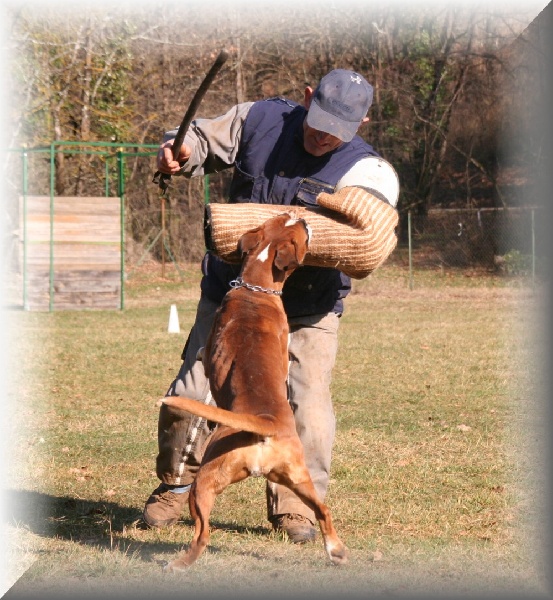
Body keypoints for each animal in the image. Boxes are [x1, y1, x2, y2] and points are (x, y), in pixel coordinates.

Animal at [157, 213, 348, 568]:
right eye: (283, 219)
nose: (302, 216)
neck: (255, 287)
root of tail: (265, 426)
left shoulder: (209, 349)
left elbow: (203, 352)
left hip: (204, 483)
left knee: (202, 534)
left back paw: (178, 563)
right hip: (298, 477)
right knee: (323, 511)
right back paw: (336, 551)